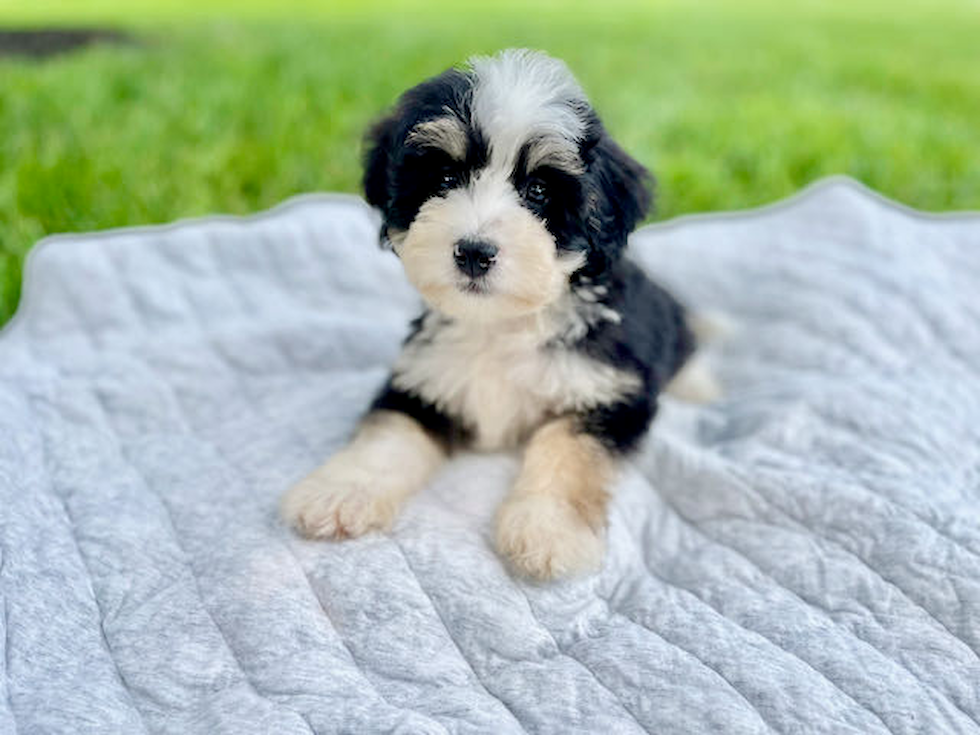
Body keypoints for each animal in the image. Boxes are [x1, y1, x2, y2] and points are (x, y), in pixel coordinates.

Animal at [280, 50, 716, 580]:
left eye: (539, 190)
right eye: (445, 179)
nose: (473, 252)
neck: (502, 324)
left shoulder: (607, 394)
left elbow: (568, 453)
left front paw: (548, 531)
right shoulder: (424, 379)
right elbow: (389, 435)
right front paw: (339, 492)